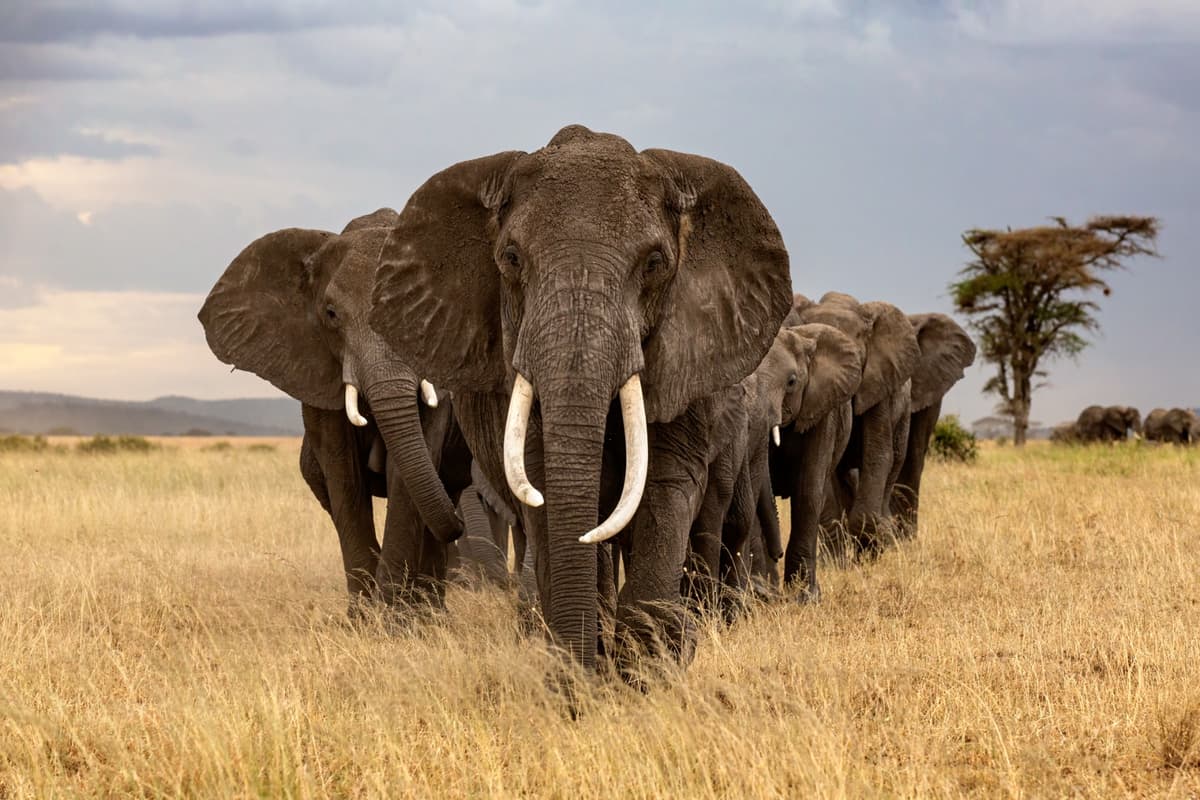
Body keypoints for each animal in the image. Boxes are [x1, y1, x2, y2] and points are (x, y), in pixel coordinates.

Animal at [199, 209, 470, 613]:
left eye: (414, 313)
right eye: (331, 314)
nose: (459, 527)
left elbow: (405, 476)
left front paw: (392, 618)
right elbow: (344, 476)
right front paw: (364, 616)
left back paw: (429, 612)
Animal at [368, 125, 792, 672]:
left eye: (654, 263)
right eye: (511, 259)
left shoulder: (685, 353)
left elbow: (665, 484)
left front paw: (651, 665)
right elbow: (545, 481)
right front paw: (583, 673)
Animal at [791, 292, 921, 555]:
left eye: (858, 354)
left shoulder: (878, 381)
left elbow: (879, 455)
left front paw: (876, 540)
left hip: (902, 414)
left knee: (892, 466)